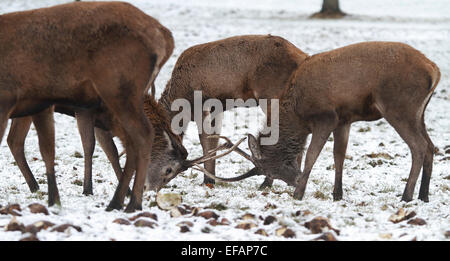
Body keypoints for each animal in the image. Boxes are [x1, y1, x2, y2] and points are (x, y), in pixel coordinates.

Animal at [0, 1, 174, 211]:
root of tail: (165, 37)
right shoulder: (47, 104)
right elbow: (55, 148)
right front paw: (59, 199)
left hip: (118, 87)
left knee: (141, 134)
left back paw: (128, 203)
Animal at [158, 35, 310, 187]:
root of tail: (304, 57)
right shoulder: (216, 109)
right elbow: (213, 140)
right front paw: (211, 179)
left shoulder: (201, 106)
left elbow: (205, 140)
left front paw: (208, 180)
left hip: (272, 96)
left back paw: (268, 182)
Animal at [199, 41, 442, 202]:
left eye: (271, 172)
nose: (294, 180)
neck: (297, 113)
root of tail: (434, 70)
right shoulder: (344, 119)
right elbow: (339, 156)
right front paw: (337, 195)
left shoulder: (326, 117)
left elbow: (311, 155)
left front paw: (299, 193)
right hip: (419, 112)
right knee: (431, 146)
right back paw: (424, 195)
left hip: (399, 107)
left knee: (419, 146)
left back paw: (406, 196)